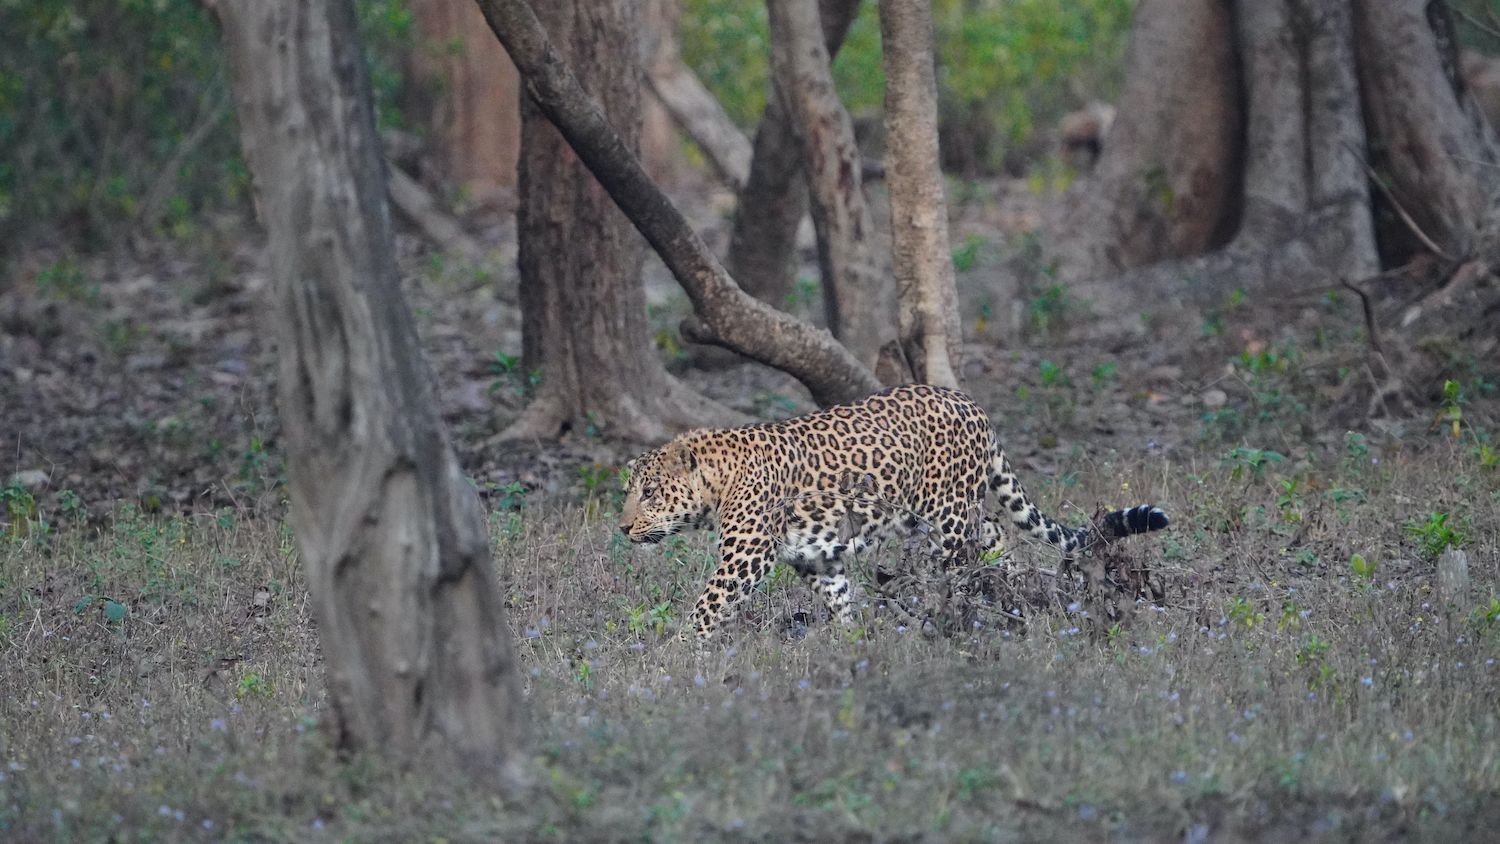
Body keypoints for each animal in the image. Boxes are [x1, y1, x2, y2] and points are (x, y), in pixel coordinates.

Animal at [619, 383, 1169, 639]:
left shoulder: (745, 557)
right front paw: (851, 640)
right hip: (929, 512)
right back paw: (1014, 594)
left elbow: (707, 607)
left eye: (649, 492)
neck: (716, 483)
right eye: (630, 491)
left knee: (964, 557)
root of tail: (970, 402)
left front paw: (675, 656)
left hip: (946, 513)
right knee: (995, 531)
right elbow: (839, 597)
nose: (622, 526)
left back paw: (954, 615)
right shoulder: (816, 557)